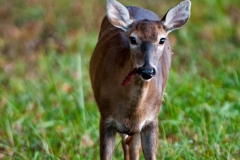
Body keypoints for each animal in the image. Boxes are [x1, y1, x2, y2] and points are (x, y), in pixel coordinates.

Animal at [90, 0, 191, 159]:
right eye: (133, 39)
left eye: (162, 40)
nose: (147, 70)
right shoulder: (106, 118)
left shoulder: (151, 120)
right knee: (127, 145)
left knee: (132, 147)